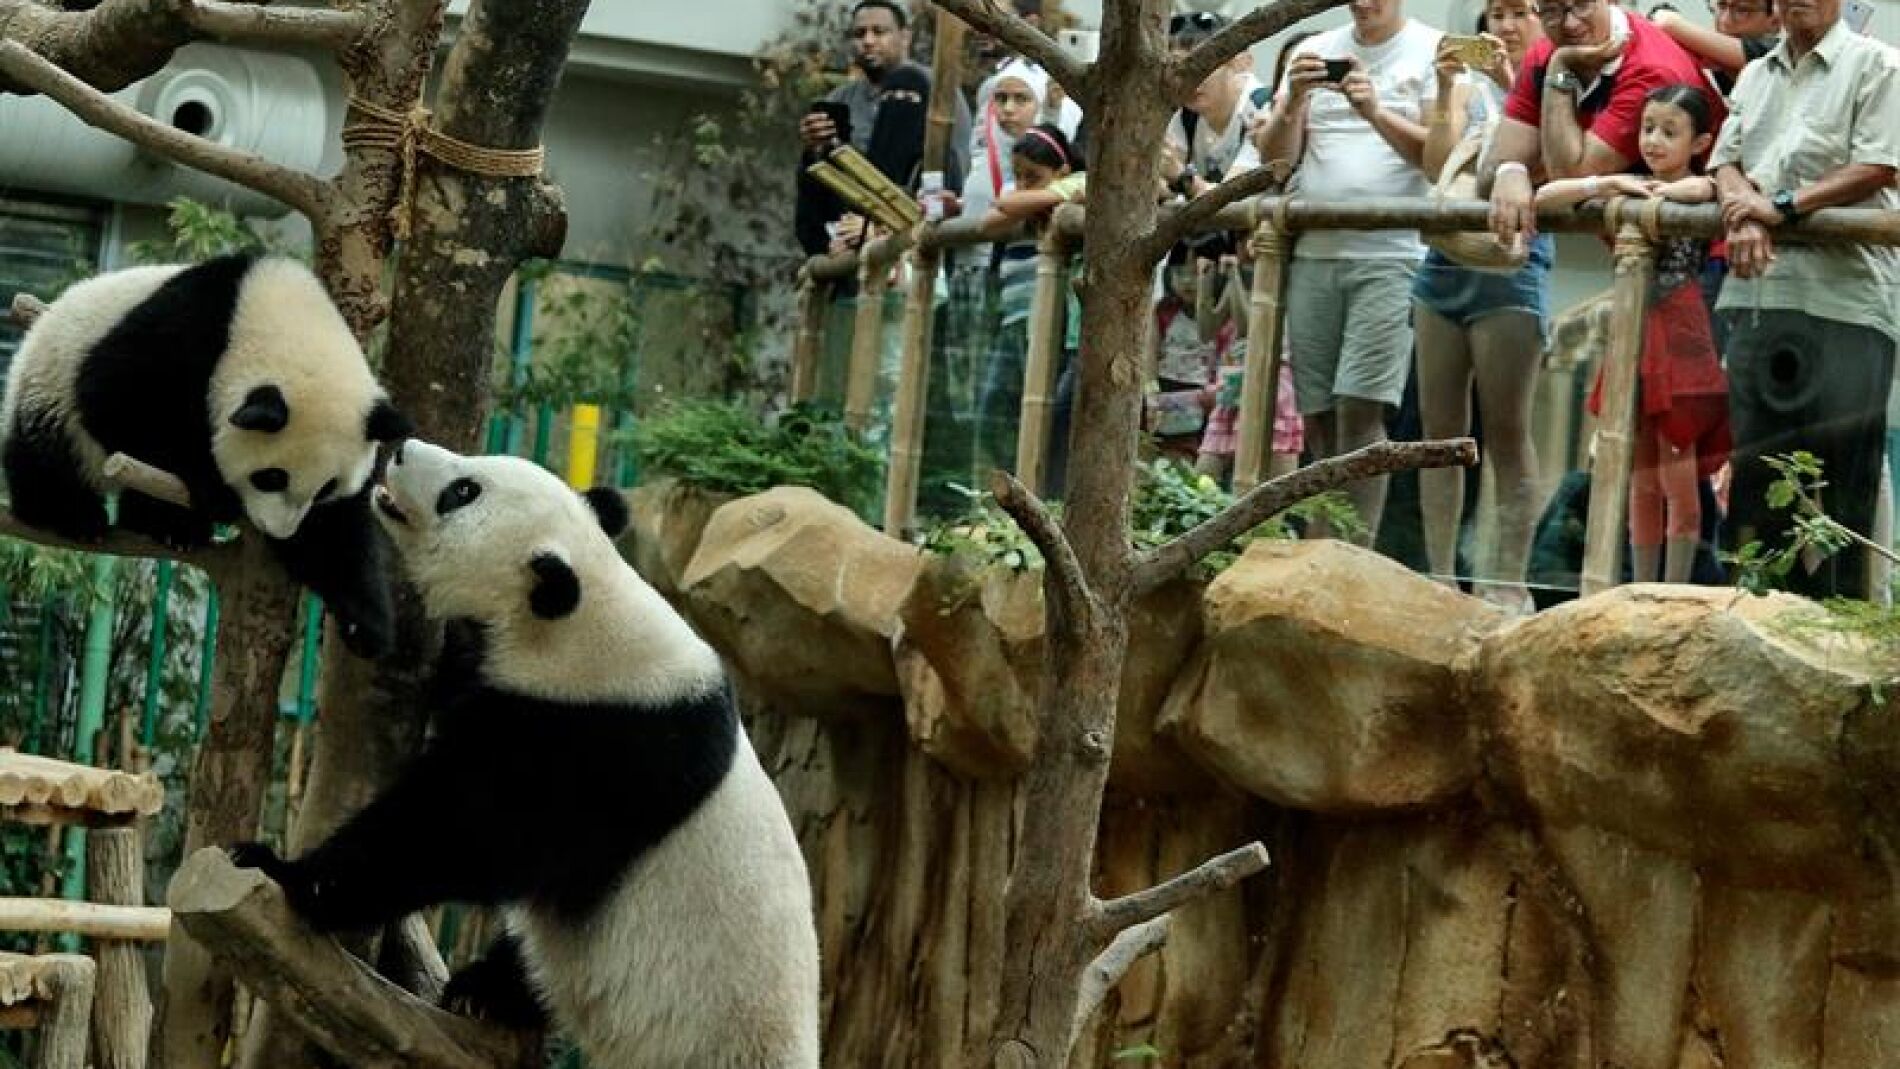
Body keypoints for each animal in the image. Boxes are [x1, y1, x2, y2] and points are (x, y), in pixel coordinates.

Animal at [0, 253, 411, 656]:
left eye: (326, 487)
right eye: (271, 477)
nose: (280, 530)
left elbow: (339, 529)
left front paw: (364, 625)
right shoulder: (185, 329)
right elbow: (112, 395)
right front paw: (214, 489)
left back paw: (167, 526)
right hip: (48, 389)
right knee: (45, 458)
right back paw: (75, 517)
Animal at [230, 439, 822, 1069]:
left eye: (463, 492)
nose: (403, 449)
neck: (588, 622)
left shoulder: (598, 746)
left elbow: (457, 832)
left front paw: (285, 873)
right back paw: (482, 992)